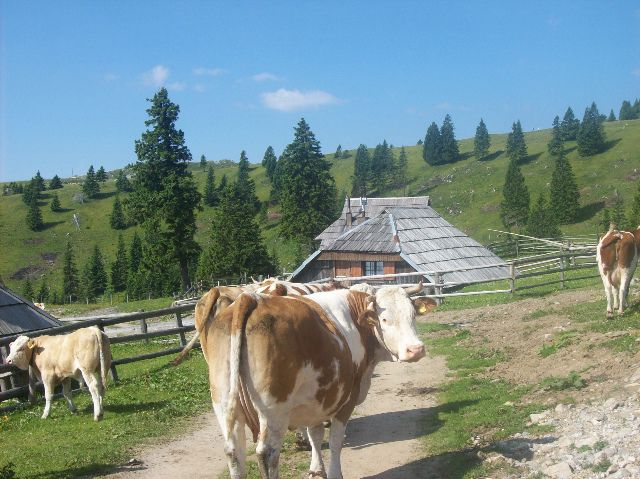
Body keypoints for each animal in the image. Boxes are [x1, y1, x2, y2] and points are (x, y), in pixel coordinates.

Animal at [201, 284, 424, 479]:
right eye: (385, 319)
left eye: (413, 315)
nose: (416, 349)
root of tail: (251, 298)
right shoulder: (347, 399)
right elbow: (335, 441)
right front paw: (334, 474)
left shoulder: (317, 399)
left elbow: (315, 435)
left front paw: (316, 470)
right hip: (273, 411)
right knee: (267, 453)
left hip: (224, 405)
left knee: (234, 452)